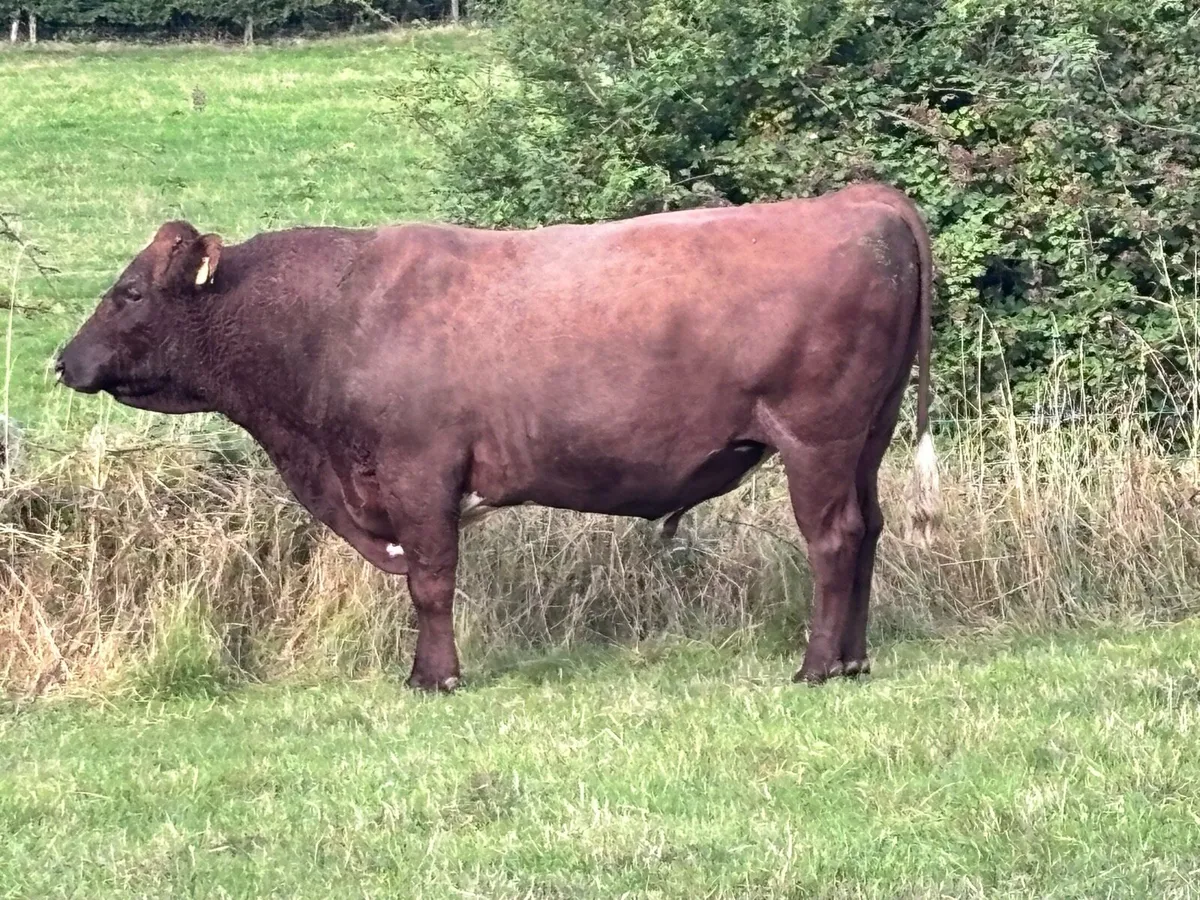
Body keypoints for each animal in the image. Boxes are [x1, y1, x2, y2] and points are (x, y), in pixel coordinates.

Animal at [56, 182, 939, 691]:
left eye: (129, 293)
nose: (63, 359)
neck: (331, 316)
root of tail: (859, 198)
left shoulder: (418, 471)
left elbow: (430, 582)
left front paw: (434, 677)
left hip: (817, 439)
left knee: (833, 539)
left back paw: (817, 664)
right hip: (867, 438)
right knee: (869, 531)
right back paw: (854, 659)